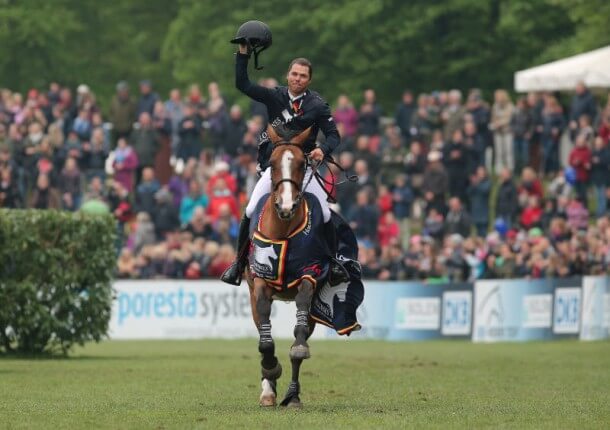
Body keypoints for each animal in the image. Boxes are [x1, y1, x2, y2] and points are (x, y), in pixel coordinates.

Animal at [245, 125, 326, 410]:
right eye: (272, 162)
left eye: (303, 163)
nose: (287, 206)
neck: (283, 228)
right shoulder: (259, 281)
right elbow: (265, 340)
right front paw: (270, 369)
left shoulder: (311, 274)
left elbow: (298, 333)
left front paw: (297, 349)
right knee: (262, 330)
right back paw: (268, 391)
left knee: (298, 343)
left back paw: (293, 396)